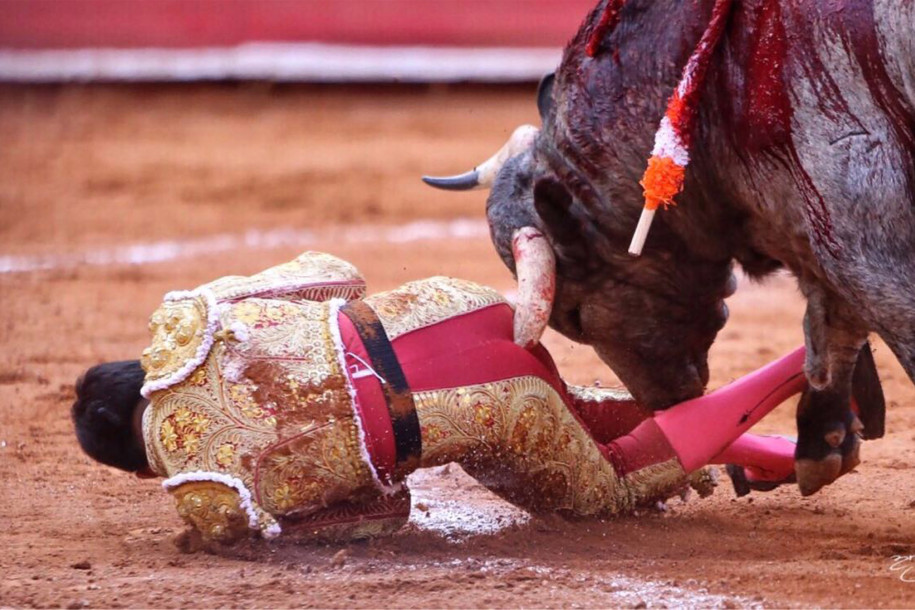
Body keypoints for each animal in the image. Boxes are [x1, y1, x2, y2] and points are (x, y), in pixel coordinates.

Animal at [426, 0, 912, 494]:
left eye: (574, 316)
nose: (663, 403)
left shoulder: (864, 236)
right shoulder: (820, 232)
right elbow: (830, 331)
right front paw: (824, 438)